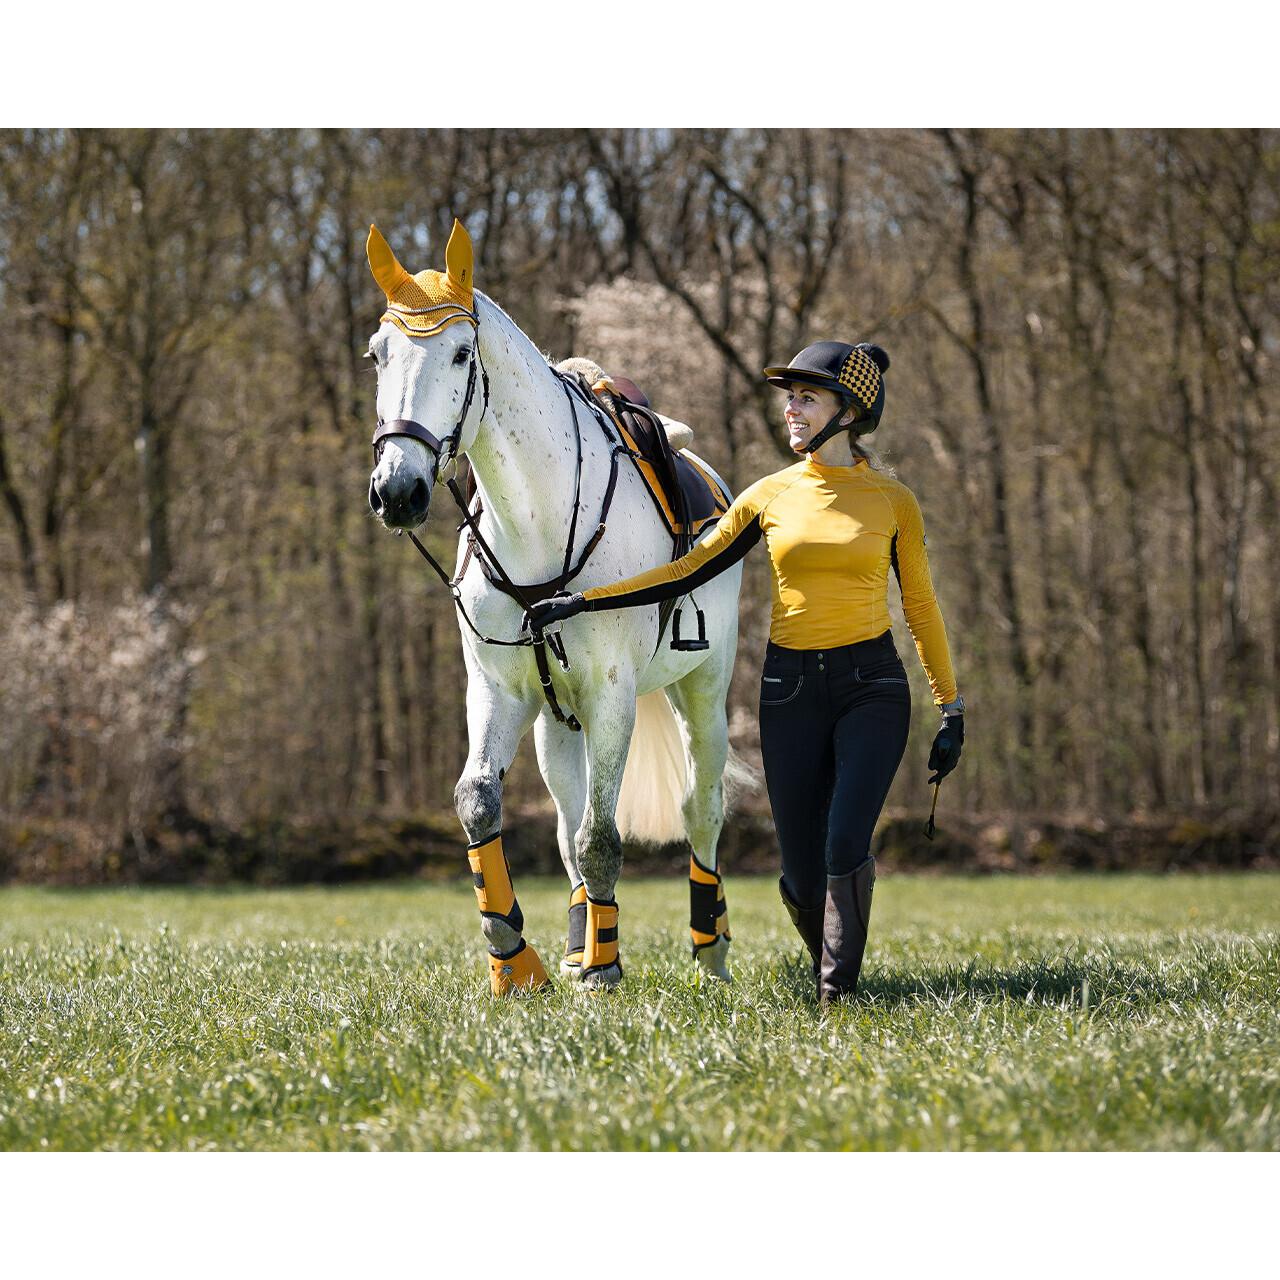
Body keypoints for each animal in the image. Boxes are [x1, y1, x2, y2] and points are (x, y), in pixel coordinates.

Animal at [363, 220, 742, 993]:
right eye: (377, 354)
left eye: (461, 352)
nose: (398, 491)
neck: (536, 520)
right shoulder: (499, 690)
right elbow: (482, 803)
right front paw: (514, 957)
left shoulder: (611, 695)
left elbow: (603, 837)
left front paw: (603, 968)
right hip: (554, 719)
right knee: (569, 823)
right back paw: (578, 938)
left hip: (703, 691)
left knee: (702, 809)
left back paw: (708, 945)